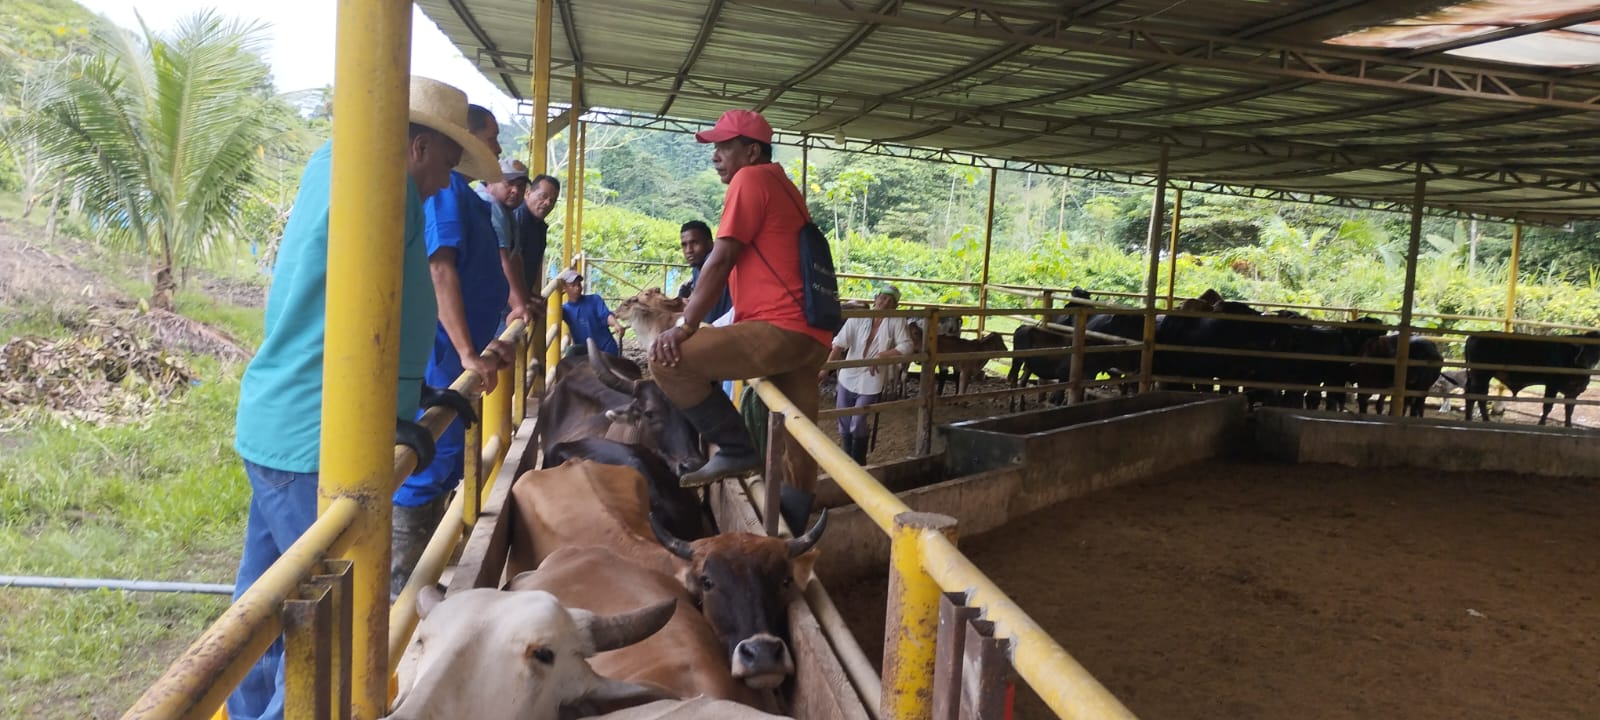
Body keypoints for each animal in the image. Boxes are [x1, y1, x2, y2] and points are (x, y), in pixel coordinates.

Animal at [1463, 331, 1600, 427]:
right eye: (1583, 346)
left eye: (1596, 349)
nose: (1581, 360)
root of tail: (1473, 336)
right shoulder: (1552, 384)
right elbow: (1548, 406)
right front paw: (1541, 424)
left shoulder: (1574, 390)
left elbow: (1569, 409)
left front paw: (1568, 426)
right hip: (1481, 375)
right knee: (1478, 396)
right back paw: (1484, 420)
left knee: (1471, 394)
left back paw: (1469, 418)